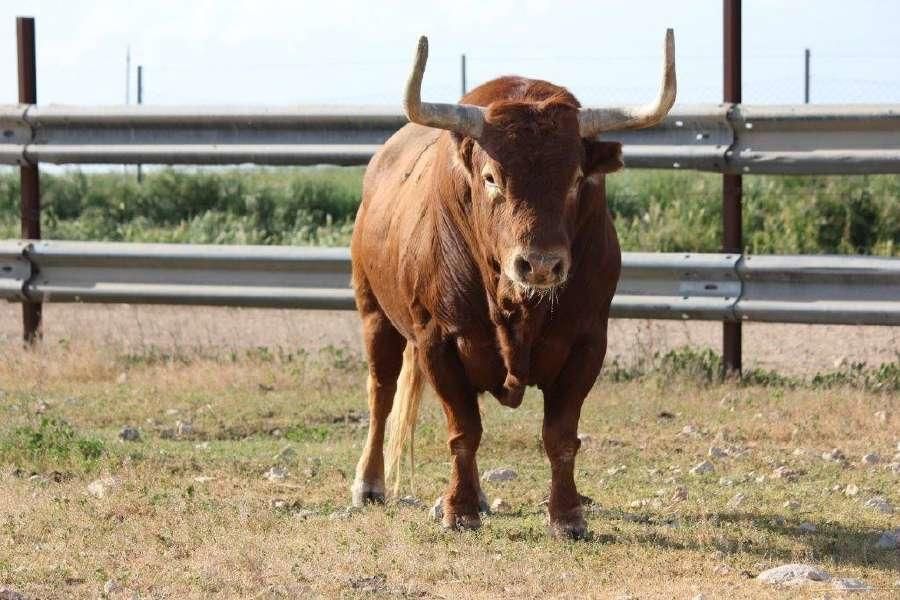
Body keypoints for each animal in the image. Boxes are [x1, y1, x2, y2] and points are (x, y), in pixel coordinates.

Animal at [352, 30, 676, 536]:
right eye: (491, 177)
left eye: (576, 178)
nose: (540, 264)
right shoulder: (436, 340)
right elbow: (463, 430)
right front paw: (460, 510)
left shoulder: (588, 342)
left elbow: (560, 436)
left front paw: (567, 515)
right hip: (373, 312)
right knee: (380, 393)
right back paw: (369, 484)